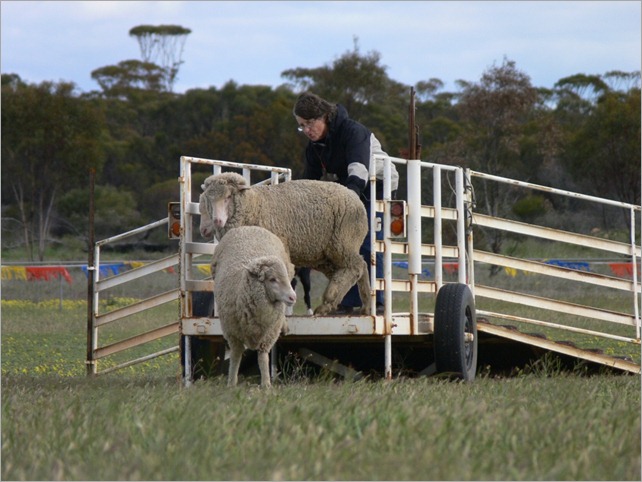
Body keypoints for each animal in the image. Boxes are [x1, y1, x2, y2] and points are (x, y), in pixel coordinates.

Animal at [200, 173, 370, 316]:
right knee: (357, 269)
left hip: (343, 242)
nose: (216, 221)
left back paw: (328, 302)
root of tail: (355, 197)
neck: (255, 205)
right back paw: (364, 306)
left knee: (356, 267)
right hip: (325, 255)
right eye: (209, 200)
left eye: (228, 196)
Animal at [212, 226, 298, 388]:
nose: (293, 297)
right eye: (272, 279)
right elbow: (235, 357)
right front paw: (231, 383)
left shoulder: (267, 336)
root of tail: (249, 227)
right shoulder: (233, 334)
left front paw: (266, 384)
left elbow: (263, 358)